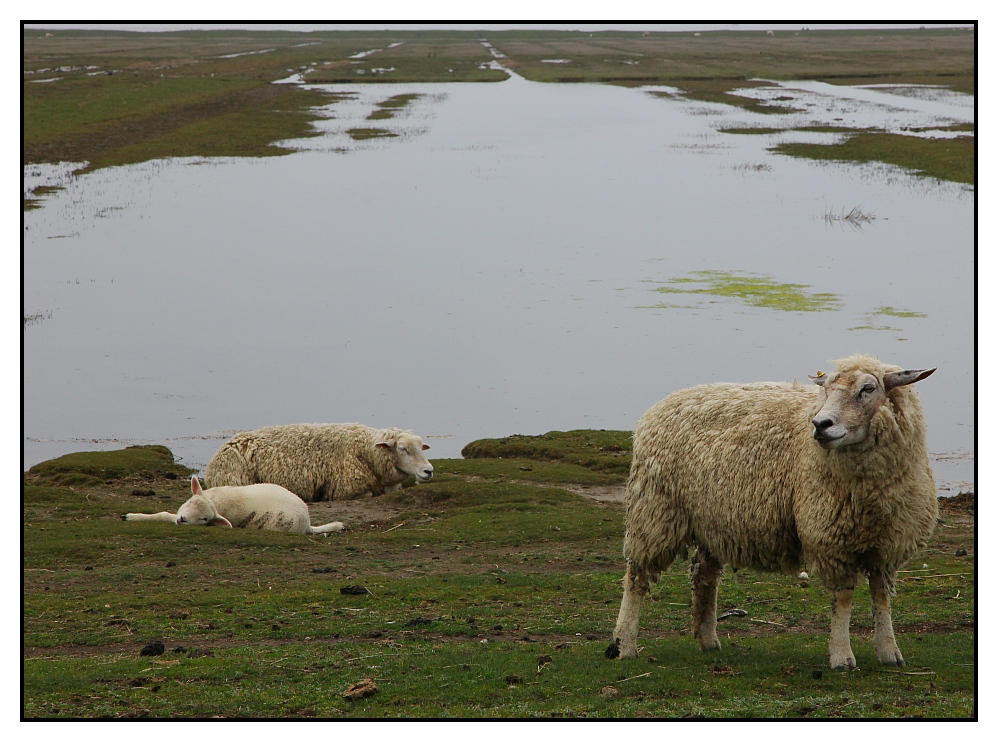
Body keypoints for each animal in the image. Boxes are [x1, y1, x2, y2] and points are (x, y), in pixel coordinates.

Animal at [122, 476, 344, 536]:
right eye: (191, 501)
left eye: (205, 519)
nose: (183, 519)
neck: (218, 502)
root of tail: (307, 522)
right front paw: (131, 516)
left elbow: (166, 515)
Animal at [612, 358, 940, 672]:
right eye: (826, 390)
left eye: (868, 389)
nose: (821, 424)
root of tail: (663, 403)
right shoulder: (831, 540)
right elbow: (843, 599)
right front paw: (842, 657)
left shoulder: (888, 546)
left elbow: (881, 597)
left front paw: (889, 652)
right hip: (655, 511)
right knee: (636, 577)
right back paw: (623, 645)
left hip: (711, 519)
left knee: (704, 574)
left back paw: (708, 640)